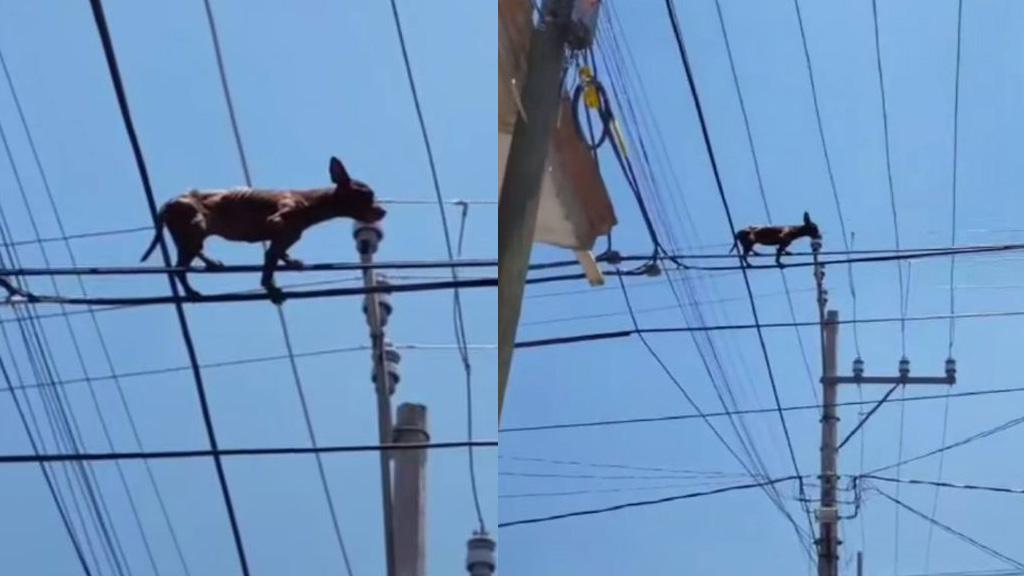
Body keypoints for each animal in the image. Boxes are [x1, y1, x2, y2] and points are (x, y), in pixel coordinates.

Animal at [140, 154, 387, 303]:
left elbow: (279, 256)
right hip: (195, 227)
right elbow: (268, 270)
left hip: (189, 234)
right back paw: (191, 292)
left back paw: (211, 264)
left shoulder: (283, 239)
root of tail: (171, 201)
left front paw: (290, 262)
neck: (311, 202)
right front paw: (271, 290)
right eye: (367, 195)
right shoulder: (276, 225)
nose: (383, 211)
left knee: (191, 256)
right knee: (179, 267)